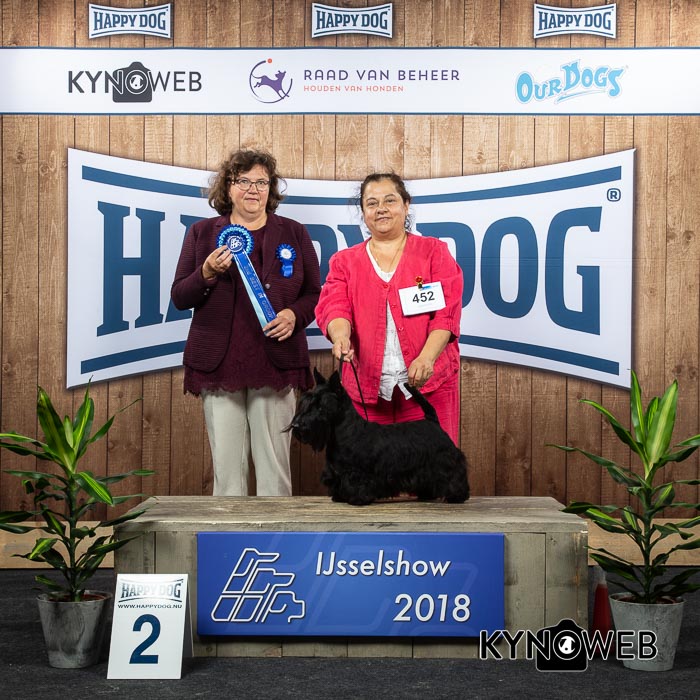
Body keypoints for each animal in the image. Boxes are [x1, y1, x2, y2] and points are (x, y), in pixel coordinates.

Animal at [288, 368, 470, 506]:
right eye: (305, 402)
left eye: (321, 407)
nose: (296, 425)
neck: (343, 431)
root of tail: (433, 421)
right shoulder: (336, 471)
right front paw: (340, 496)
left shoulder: (357, 473)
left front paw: (357, 499)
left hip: (445, 462)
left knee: (454, 477)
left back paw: (457, 496)